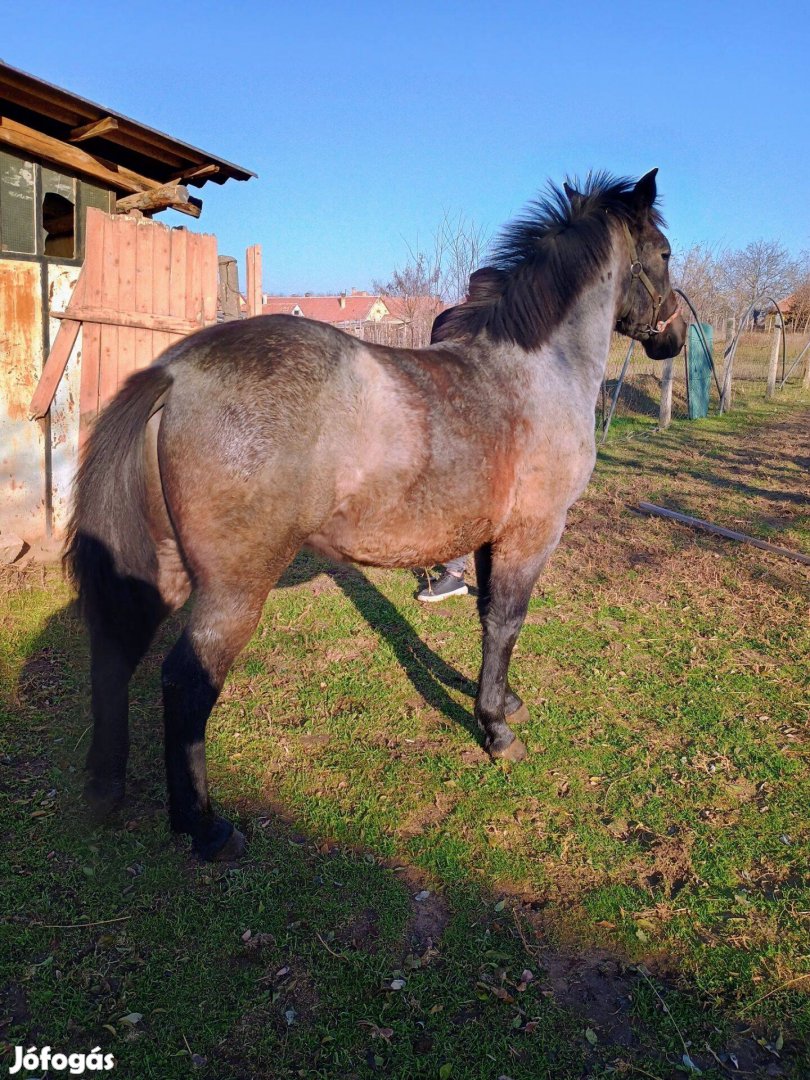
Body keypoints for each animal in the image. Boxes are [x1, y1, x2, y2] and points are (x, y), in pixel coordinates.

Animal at [65, 168, 686, 859]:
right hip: (233, 589)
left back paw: (106, 790)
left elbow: (487, 620)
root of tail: (174, 373)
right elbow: (507, 624)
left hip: (161, 569)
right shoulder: (533, 533)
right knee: (184, 681)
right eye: (663, 253)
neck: (535, 369)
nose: (674, 336)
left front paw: (501, 702)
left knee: (115, 654)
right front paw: (496, 732)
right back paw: (204, 826)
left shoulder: (489, 537)